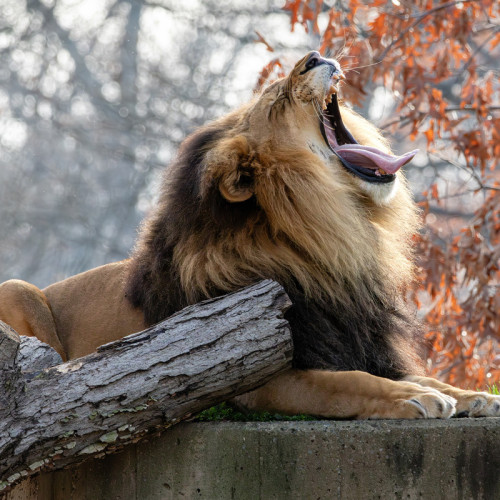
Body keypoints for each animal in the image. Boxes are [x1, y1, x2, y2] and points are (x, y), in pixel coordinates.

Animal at [0, 50, 500, 418]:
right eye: (276, 101)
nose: (314, 55)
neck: (326, 242)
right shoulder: (259, 377)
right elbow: (350, 383)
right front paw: (414, 399)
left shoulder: (358, 343)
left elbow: (416, 374)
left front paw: (471, 396)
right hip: (17, 288)